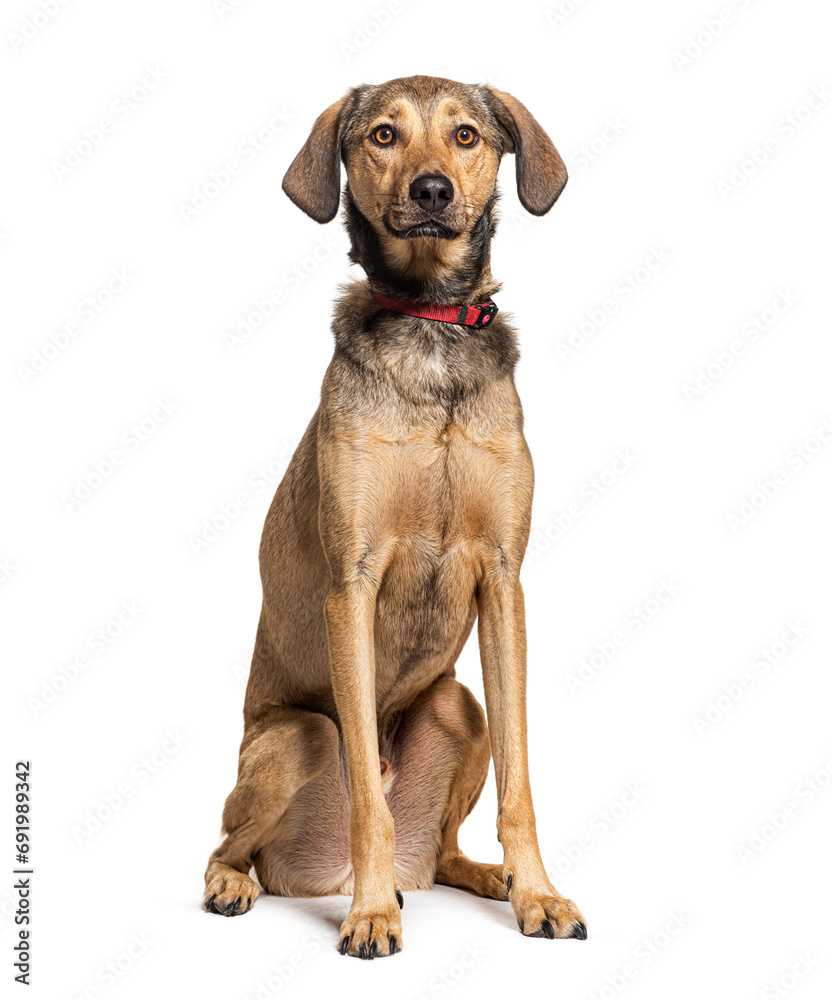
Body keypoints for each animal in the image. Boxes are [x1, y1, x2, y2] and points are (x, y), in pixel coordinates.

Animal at [205, 74, 588, 956]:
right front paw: (372, 915)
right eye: (384, 134)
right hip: (296, 738)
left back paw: (482, 876)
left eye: (466, 135)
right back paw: (251, 885)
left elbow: (520, 783)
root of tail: (317, 876)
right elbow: (367, 807)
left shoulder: (503, 582)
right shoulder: (353, 584)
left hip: (456, 705)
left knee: (442, 849)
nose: (432, 190)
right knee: (228, 841)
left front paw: (539, 894)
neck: (428, 322)